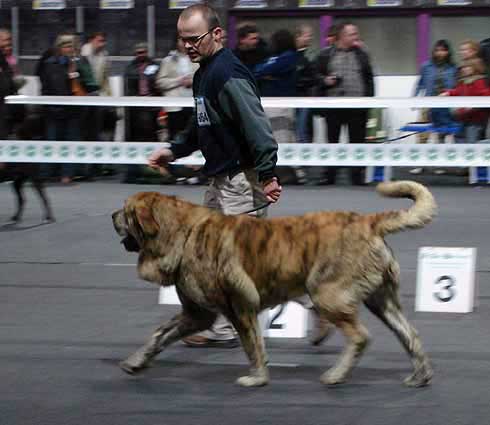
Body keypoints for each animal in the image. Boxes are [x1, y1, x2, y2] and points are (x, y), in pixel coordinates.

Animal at [113, 181, 434, 386]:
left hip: (328, 295)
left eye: (125, 211)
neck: (184, 232)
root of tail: (369, 221)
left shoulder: (239, 307)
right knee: (409, 333)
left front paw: (256, 378)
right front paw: (136, 361)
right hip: (382, 300)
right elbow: (160, 335)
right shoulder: (196, 314)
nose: (113, 215)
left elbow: (252, 345)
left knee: (360, 336)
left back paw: (335, 375)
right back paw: (420, 376)